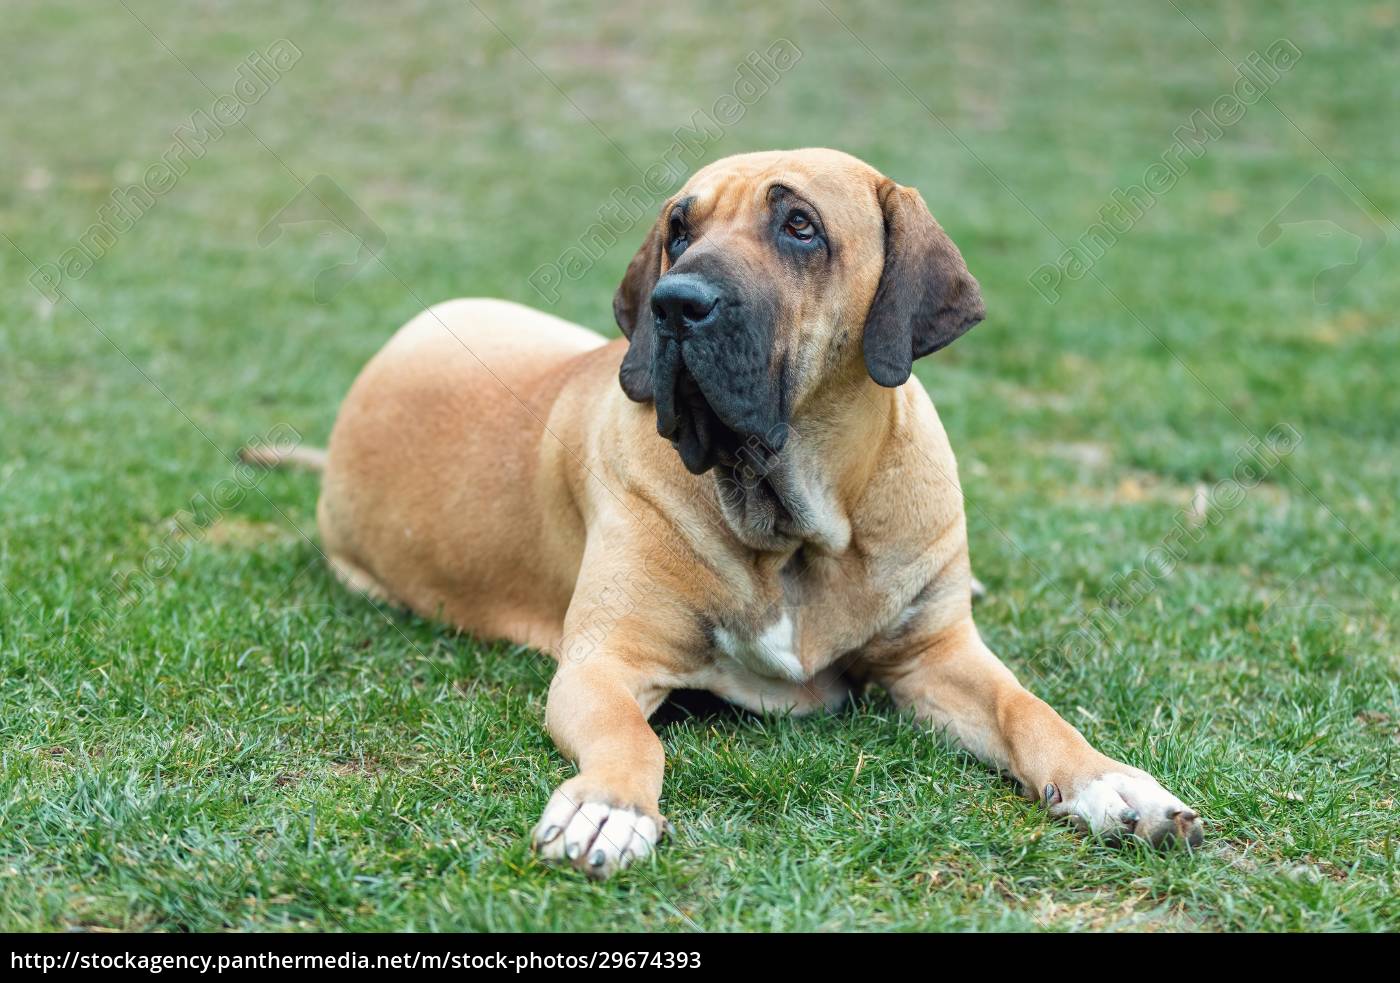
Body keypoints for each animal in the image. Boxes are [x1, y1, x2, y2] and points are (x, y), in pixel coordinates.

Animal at [260, 149, 1204, 879]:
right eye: (679, 228)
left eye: (800, 226)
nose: (675, 303)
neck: (797, 521)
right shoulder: (602, 663)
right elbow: (632, 737)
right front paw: (609, 807)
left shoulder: (935, 654)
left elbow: (1028, 709)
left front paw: (1114, 783)